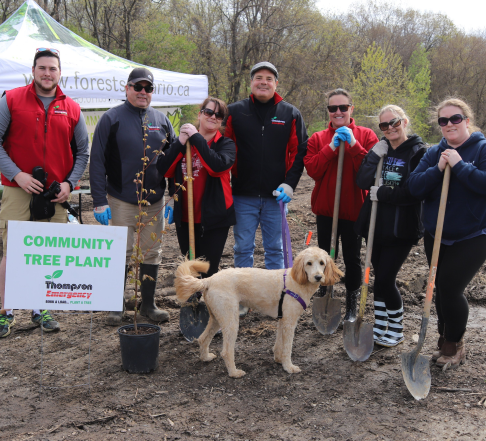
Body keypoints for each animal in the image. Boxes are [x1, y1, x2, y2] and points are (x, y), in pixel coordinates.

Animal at [175, 246, 342, 376]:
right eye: (309, 263)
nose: (318, 277)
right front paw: (288, 367)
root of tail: (209, 280)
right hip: (231, 321)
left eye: (322, 263)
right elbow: (287, 347)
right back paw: (234, 373)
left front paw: (278, 360)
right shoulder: (290, 322)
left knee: (203, 338)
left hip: (217, 317)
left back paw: (206, 358)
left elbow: (279, 343)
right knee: (226, 351)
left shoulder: (283, 320)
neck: (296, 280)